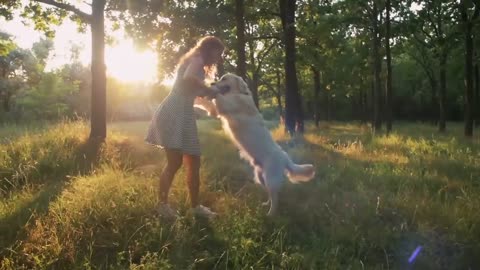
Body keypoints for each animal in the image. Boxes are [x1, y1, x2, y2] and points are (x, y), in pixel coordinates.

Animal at [195, 73, 316, 215]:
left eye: (224, 79)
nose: (212, 83)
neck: (239, 94)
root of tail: (286, 158)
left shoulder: (226, 105)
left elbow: (217, 96)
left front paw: (208, 91)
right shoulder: (217, 109)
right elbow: (206, 103)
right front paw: (197, 100)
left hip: (270, 179)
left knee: (276, 198)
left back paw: (271, 214)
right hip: (260, 177)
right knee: (270, 194)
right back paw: (266, 204)